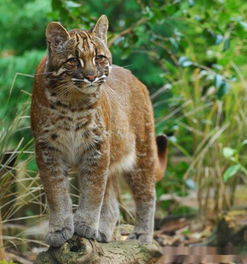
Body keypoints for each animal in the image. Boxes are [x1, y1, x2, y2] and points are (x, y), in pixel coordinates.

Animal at [29, 14, 167, 248]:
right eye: (73, 60)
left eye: (99, 57)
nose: (91, 77)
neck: (72, 102)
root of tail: (135, 78)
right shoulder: (48, 149)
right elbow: (56, 193)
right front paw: (59, 230)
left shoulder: (97, 148)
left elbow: (93, 192)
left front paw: (84, 225)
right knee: (112, 202)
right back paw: (103, 232)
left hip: (142, 154)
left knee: (147, 195)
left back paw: (142, 236)